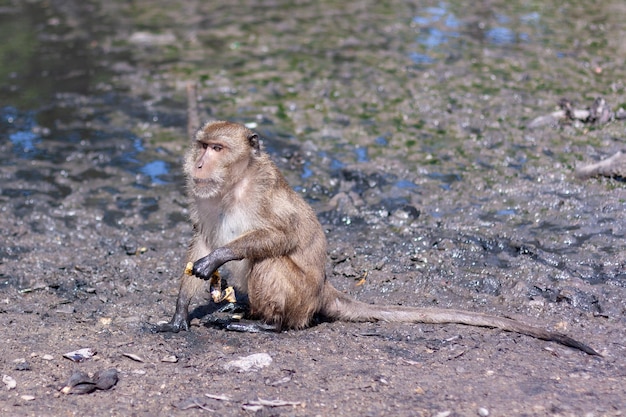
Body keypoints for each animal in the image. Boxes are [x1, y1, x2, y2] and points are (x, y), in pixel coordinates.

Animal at [155, 118, 596, 356]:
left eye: (217, 148)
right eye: (201, 146)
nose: (198, 163)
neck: (235, 185)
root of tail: (325, 291)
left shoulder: (264, 189)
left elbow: (278, 236)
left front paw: (219, 258)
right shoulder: (204, 197)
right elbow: (201, 241)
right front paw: (179, 315)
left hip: (303, 298)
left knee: (273, 262)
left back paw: (270, 326)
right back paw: (246, 312)